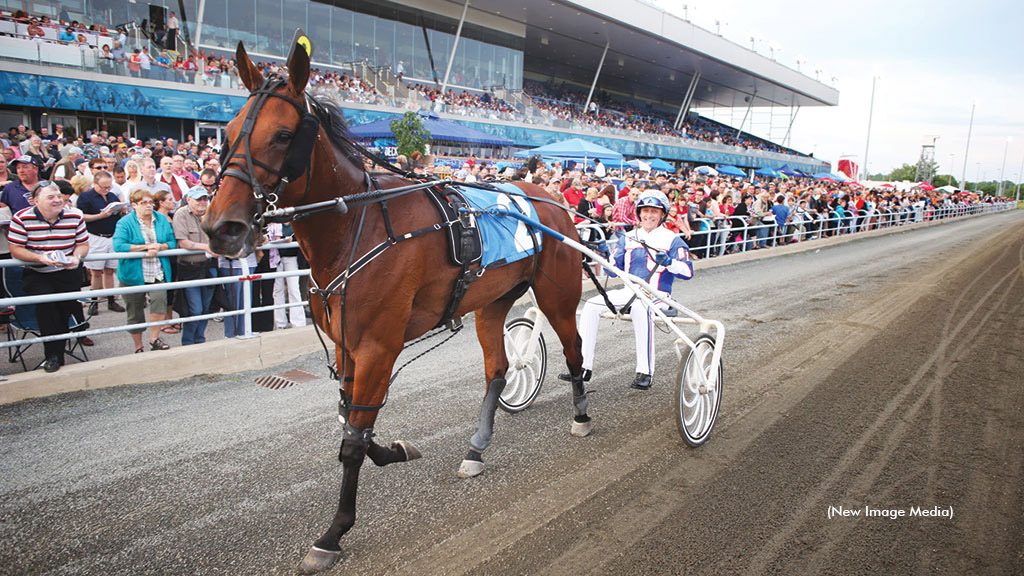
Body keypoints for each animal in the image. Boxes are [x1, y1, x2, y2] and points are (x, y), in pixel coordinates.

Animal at [201, 38, 593, 569]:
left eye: (282, 135)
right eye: (226, 134)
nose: (222, 228)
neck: (355, 224)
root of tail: (550, 199)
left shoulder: (377, 346)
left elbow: (352, 440)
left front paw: (333, 533)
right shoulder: (346, 345)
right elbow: (354, 425)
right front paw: (397, 450)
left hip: (558, 294)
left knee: (573, 350)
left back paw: (582, 416)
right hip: (490, 302)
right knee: (497, 370)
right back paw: (476, 448)